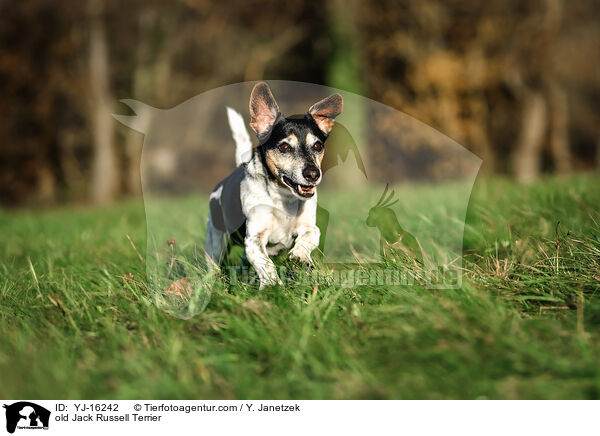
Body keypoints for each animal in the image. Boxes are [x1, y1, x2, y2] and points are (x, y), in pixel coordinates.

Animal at [205, 83, 342, 288]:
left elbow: (311, 235)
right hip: (216, 242)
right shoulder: (254, 239)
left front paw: (300, 255)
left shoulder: (308, 226)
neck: (283, 199)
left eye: (318, 146)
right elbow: (265, 262)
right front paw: (272, 285)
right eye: (284, 147)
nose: (313, 174)